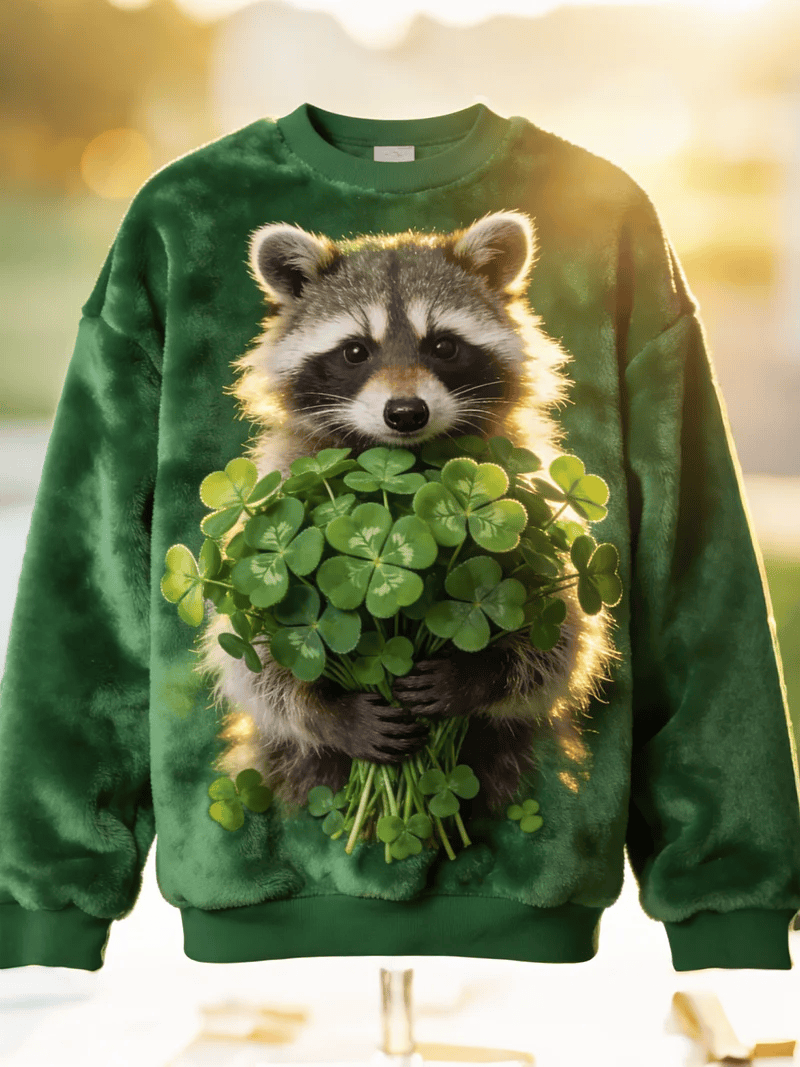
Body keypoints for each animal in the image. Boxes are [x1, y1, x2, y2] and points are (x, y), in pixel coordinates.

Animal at [194, 209, 621, 816]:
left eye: (442, 346)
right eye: (355, 352)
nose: (405, 413)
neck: (406, 460)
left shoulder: (533, 503)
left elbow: (561, 638)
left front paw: (480, 676)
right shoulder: (273, 497)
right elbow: (252, 655)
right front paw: (328, 711)